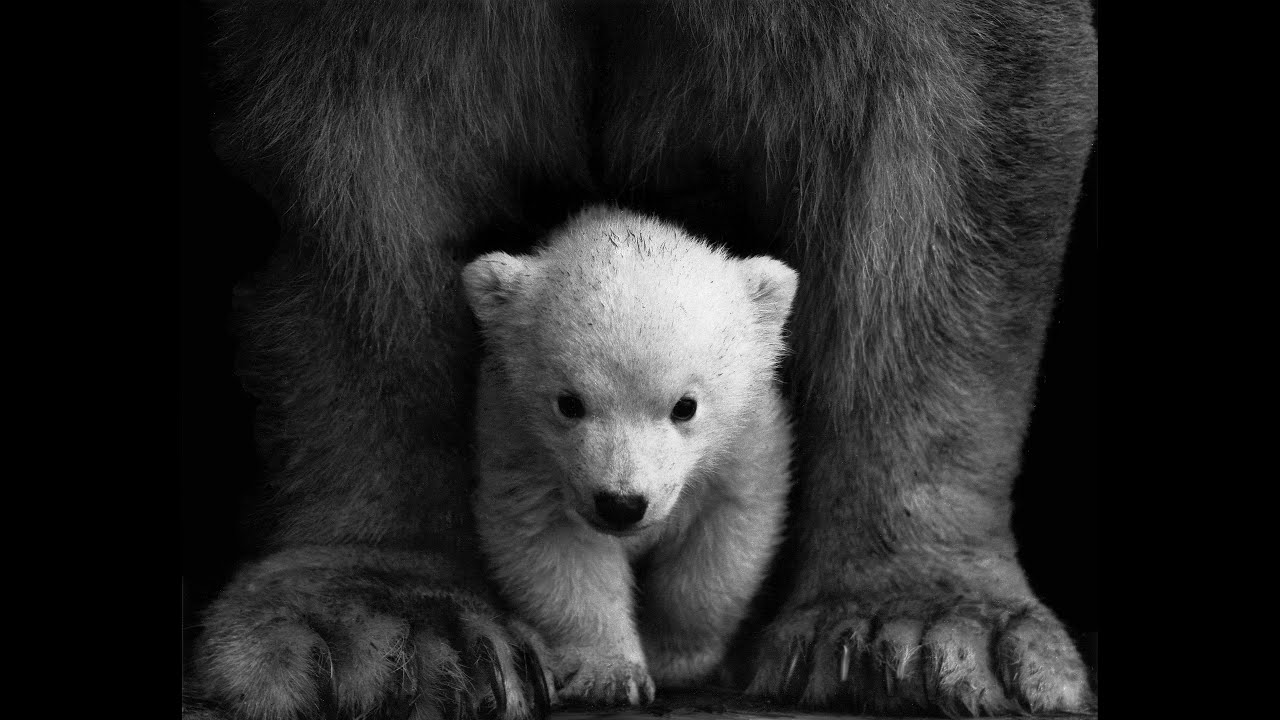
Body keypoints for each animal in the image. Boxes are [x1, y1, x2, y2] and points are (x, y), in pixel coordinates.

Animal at [461, 206, 796, 706]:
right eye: (569, 403)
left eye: (685, 406)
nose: (621, 504)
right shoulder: (520, 446)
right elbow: (555, 547)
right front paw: (611, 675)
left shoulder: (745, 445)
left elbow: (721, 544)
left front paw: (676, 659)